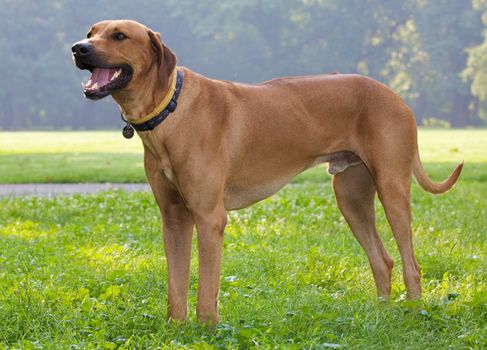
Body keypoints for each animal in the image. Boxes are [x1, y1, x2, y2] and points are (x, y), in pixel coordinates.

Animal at [73, 20, 466, 324]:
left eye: (119, 35)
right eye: (91, 31)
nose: (78, 48)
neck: (170, 108)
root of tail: (395, 94)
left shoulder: (209, 218)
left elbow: (206, 285)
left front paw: (206, 328)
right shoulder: (173, 218)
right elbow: (176, 284)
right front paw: (176, 328)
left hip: (391, 188)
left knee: (411, 263)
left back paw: (413, 313)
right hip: (351, 196)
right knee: (382, 260)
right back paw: (382, 315)